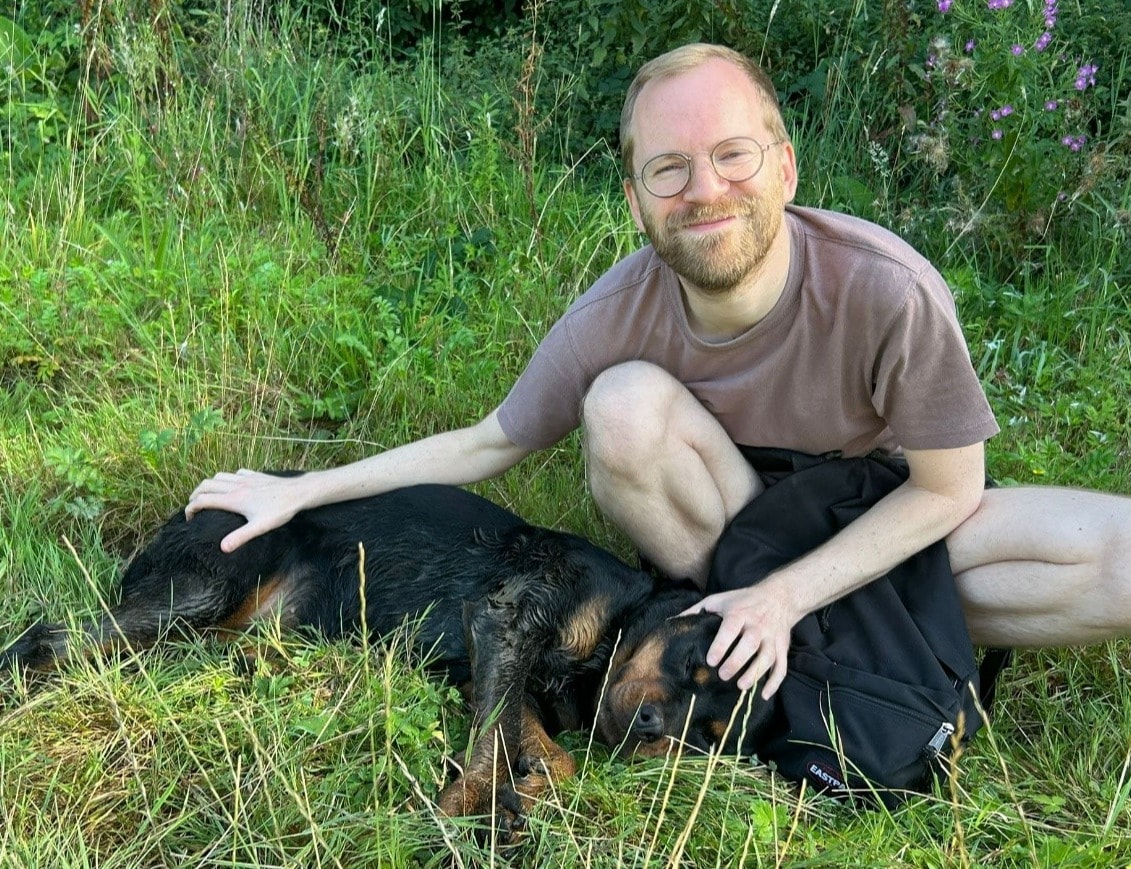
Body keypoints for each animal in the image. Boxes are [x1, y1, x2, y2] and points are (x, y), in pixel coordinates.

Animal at [1, 482, 772, 834]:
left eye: (707, 735)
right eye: (694, 661)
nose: (649, 727)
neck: (613, 629)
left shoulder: (501, 671)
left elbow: (546, 753)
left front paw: (520, 794)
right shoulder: (507, 618)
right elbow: (497, 745)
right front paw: (466, 813)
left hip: (229, 627)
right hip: (203, 586)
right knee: (51, 636)